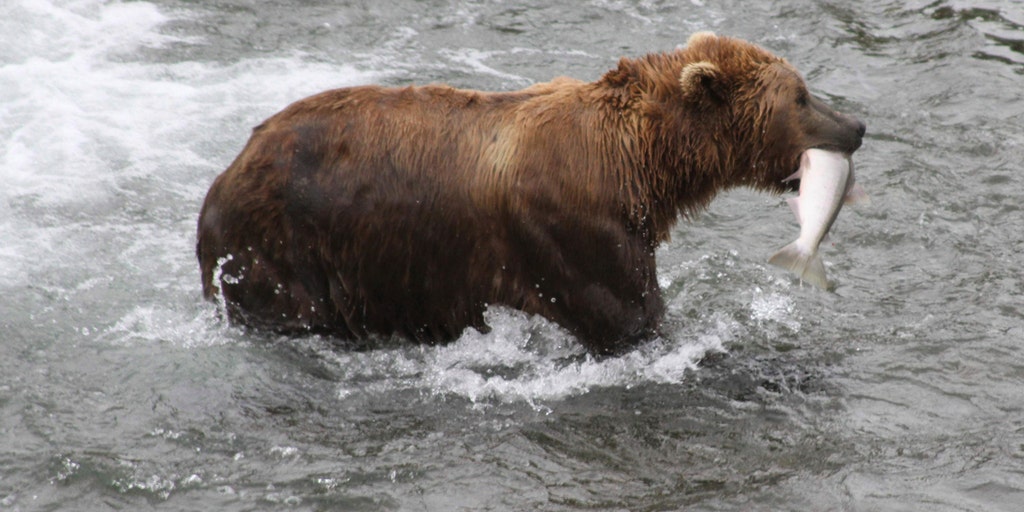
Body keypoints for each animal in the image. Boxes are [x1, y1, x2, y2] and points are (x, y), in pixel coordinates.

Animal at [196, 32, 865, 354]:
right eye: (801, 95)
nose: (856, 125)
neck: (641, 164)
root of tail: (225, 173)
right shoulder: (575, 231)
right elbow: (632, 319)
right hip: (280, 247)